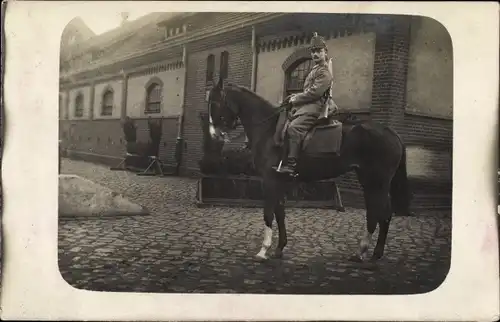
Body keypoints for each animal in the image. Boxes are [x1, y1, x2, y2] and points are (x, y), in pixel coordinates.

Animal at [207, 76, 410, 262]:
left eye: (215, 102)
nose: (214, 135)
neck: (268, 129)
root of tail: (391, 132)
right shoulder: (279, 181)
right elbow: (280, 213)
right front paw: (279, 248)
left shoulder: (270, 180)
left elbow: (268, 214)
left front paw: (263, 251)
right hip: (369, 181)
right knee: (376, 213)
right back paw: (366, 252)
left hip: (377, 182)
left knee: (382, 213)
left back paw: (370, 252)